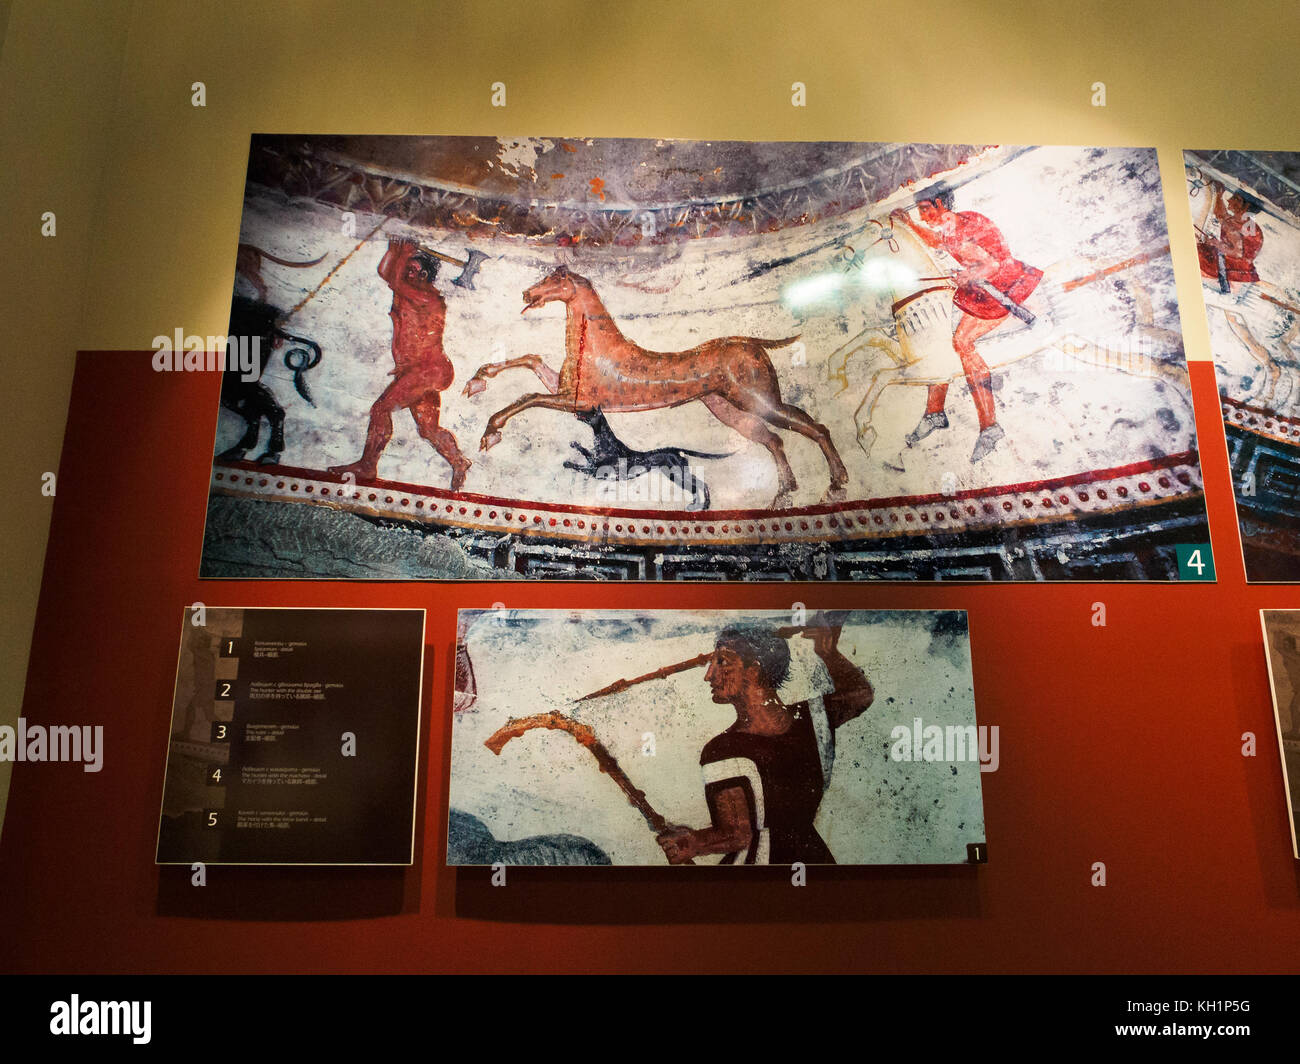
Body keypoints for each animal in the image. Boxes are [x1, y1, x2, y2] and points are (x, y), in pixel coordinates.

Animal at [569, 408, 733, 512]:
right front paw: (575, 444)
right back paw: (699, 505)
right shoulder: (593, 463)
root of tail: (675, 450)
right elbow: (585, 451)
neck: (604, 440)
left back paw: (700, 506)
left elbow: (578, 465)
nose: (576, 411)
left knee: (698, 485)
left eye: (590, 412)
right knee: (698, 485)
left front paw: (568, 462)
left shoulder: (595, 470)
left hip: (677, 475)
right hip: (678, 474)